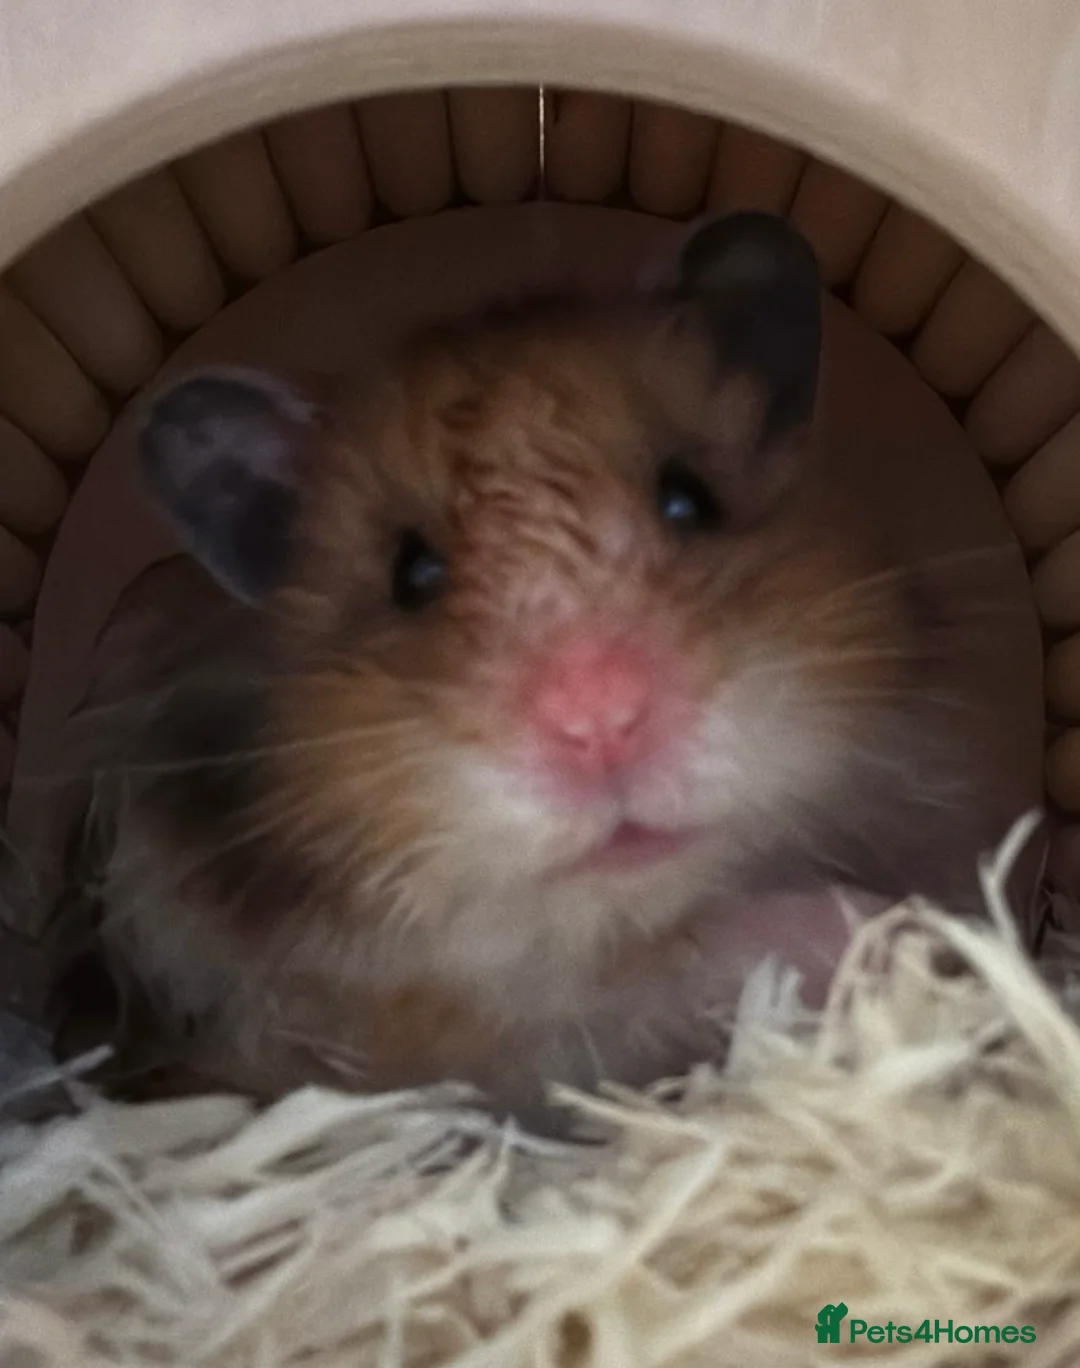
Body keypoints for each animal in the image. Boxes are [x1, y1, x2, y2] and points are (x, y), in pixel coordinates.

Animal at [64, 213, 1027, 1121]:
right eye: (412, 575)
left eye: (690, 499)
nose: (599, 722)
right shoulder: (454, 1033)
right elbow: (698, 959)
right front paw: (896, 931)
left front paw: (934, 935)